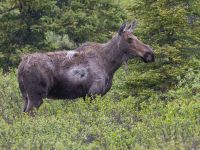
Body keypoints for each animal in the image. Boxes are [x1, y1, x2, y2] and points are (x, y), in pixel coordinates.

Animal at [17, 21, 155, 113]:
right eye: (130, 39)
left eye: (136, 37)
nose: (150, 53)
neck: (109, 65)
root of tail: (21, 67)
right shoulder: (93, 93)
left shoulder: (89, 95)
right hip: (36, 96)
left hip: (26, 96)